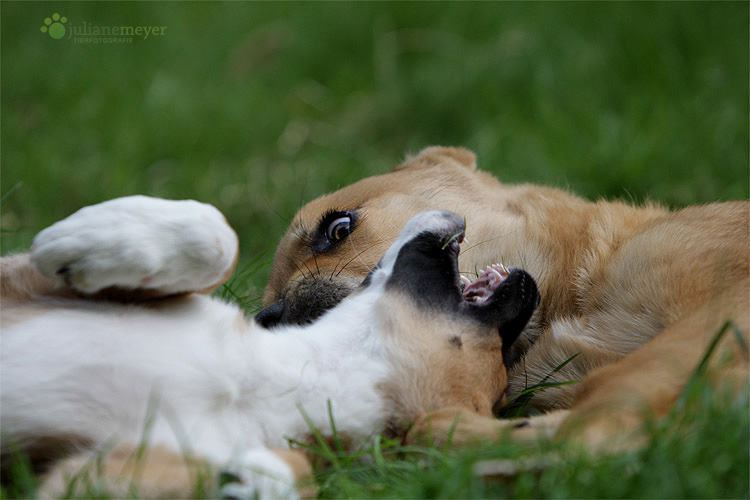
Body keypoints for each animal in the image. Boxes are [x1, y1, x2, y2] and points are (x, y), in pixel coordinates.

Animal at [0, 197, 540, 498]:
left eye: (498, 399)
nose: (532, 289)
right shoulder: (16, 281)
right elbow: (218, 236)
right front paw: (88, 237)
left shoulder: (73, 472)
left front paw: (253, 480)